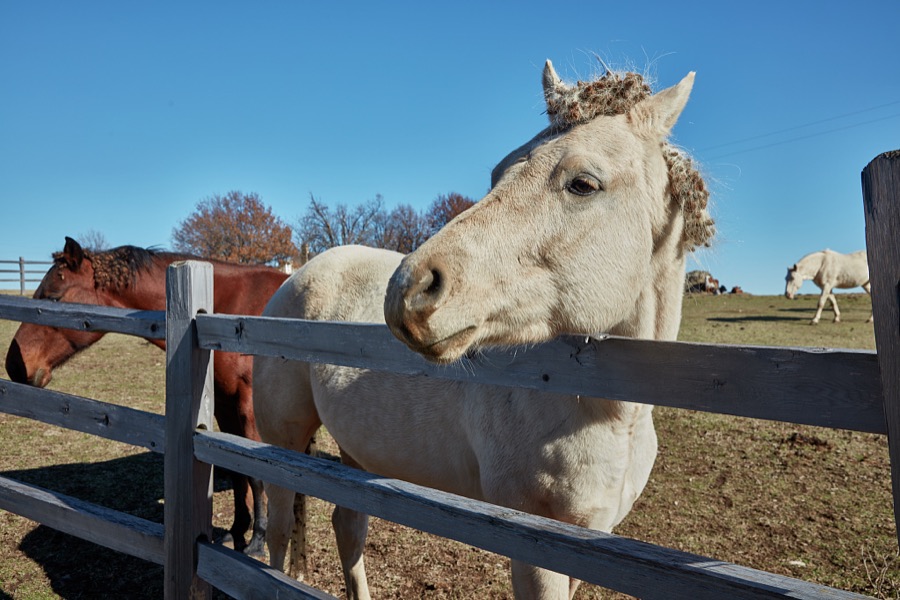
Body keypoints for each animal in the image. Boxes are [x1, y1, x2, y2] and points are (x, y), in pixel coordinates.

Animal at [5, 236, 289, 555]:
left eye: (53, 298)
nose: (14, 364)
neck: (224, 313)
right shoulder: (225, 404)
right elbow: (237, 471)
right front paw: (237, 531)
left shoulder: (248, 406)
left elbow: (256, 475)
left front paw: (258, 541)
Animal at [255, 60, 712, 599]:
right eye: (498, 173)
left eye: (583, 183)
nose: (408, 290)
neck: (607, 415)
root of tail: (298, 276)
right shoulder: (536, 551)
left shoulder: (584, 546)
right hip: (282, 445)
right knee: (278, 534)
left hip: (356, 452)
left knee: (348, 529)